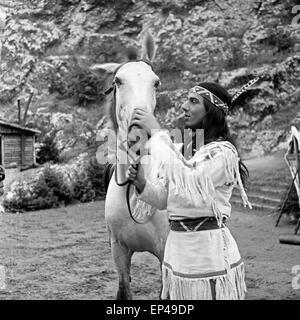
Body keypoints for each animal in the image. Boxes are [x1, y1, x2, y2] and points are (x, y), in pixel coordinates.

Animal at [92, 33, 169, 298]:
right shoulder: (119, 251)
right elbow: (124, 289)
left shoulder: (166, 253)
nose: (139, 136)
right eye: (118, 81)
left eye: (156, 83)